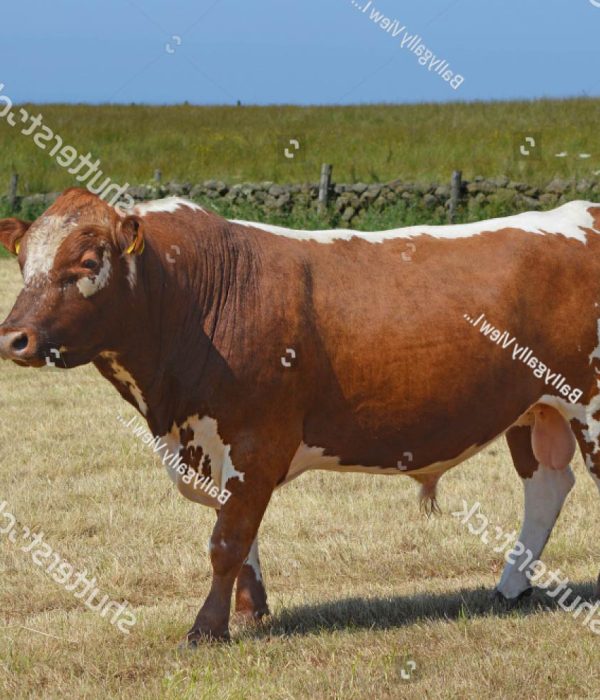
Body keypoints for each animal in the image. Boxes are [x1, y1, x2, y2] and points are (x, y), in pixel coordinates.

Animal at [0, 187, 599, 644]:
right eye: (24, 262)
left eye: (87, 263)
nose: (13, 338)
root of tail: (583, 211)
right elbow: (240, 535)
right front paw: (250, 612)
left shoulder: (256, 439)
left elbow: (227, 539)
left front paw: (207, 629)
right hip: (533, 409)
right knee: (546, 485)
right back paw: (510, 587)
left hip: (587, 404)